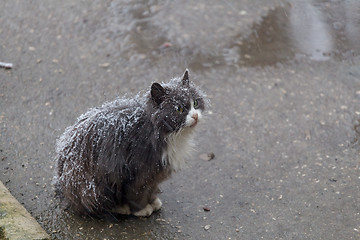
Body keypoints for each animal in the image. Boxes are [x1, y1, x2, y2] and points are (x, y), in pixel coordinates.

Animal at [54, 68, 205, 217]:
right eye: (179, 109)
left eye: (195, 103)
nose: (195, 116)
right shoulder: (139, 172)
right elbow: (137, 193)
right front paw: (142, 209)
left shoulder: (155, 175)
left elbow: (151, 188)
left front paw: (153, 201)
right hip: (97, 185)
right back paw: (121, 208)